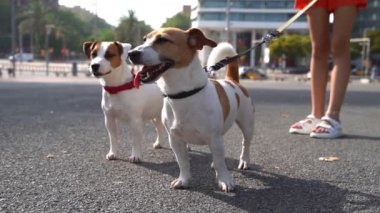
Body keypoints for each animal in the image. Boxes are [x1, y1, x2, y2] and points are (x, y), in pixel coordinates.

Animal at [127, 27, 255, 192]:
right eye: (144, 39)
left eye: (162, 40)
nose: (131, 53)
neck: (183, 94)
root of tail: (232, 80)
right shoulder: (175, 140)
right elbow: (183, 162)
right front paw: (184, 180)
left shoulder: (214, 137)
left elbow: (220, 163)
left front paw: (225, 180)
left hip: (247, 124)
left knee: (245, 144)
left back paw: (244, 161)